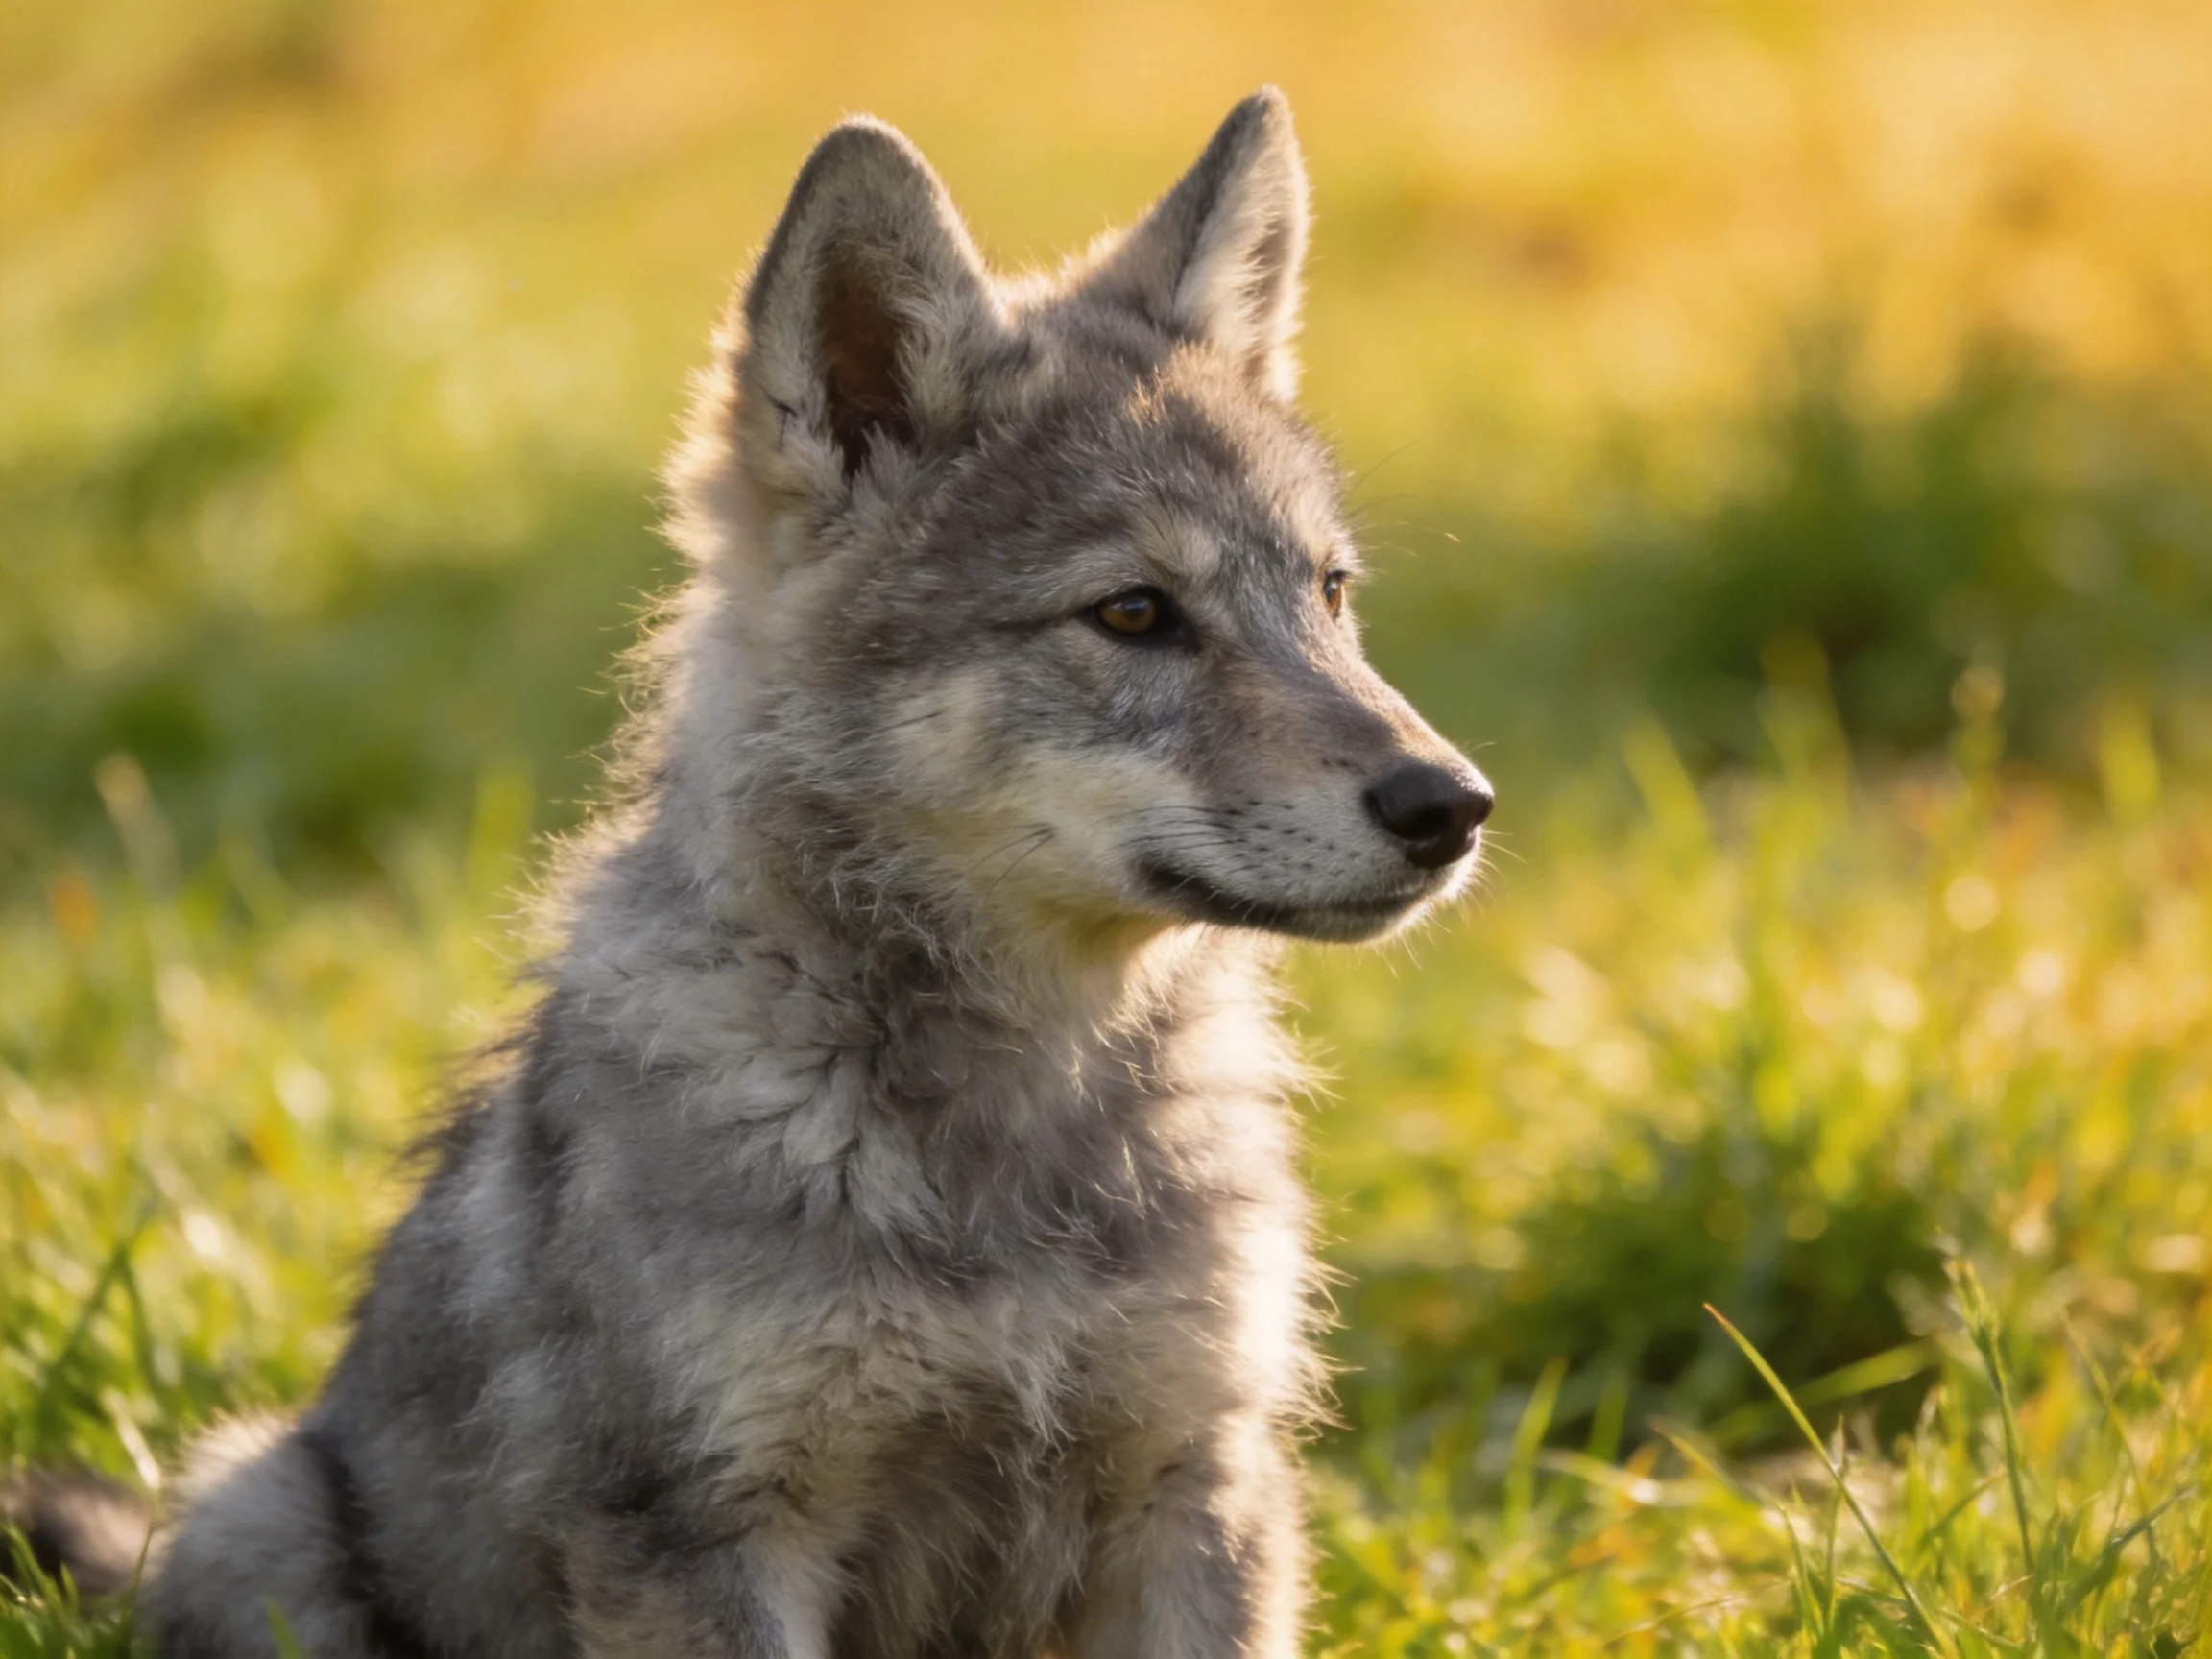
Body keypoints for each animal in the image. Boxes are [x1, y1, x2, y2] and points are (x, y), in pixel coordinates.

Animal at [41, 88, 1494, 1656]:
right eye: (1133, 614)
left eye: (1331, 597)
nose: (1453, 805)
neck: (1011, 1148)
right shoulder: (708, 1527)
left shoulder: (1200, 1483)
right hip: (253, 1513)